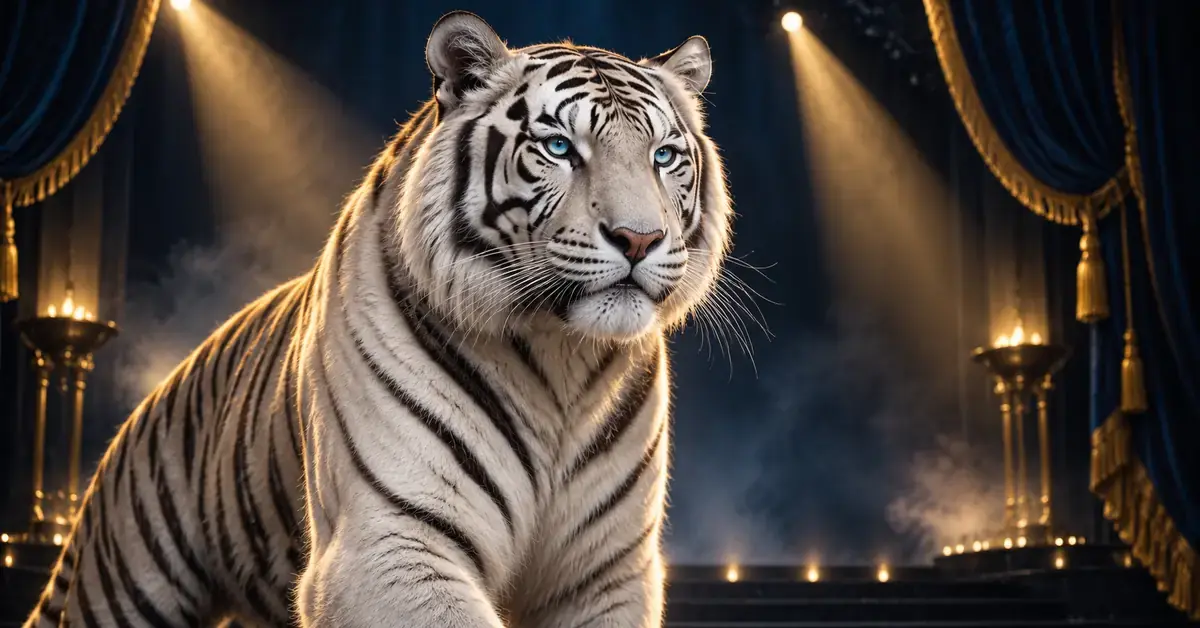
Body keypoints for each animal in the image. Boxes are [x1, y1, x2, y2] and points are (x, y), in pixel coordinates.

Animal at [24, 10, 733, 628]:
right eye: (559, 147)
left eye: (664, 156)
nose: (639, 239)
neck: (562, 352)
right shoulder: (389, 541)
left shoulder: (606, 574)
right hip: (125, 587)